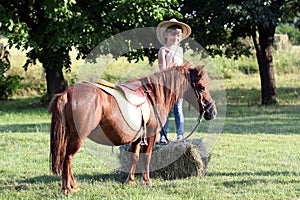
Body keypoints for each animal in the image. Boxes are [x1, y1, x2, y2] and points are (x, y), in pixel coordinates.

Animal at [49, 63, 218, 194]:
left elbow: (135, 157)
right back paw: (67, 188)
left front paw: (130, 180)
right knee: (67, 159)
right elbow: (147, 156)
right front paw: (147, 181)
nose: (212, 111)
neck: (153, 96)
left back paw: (73, 186)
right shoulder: (151, 134)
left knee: (66, 159)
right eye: (202, 87)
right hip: (78, 138)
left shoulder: (137, 138)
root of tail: (67, 93)